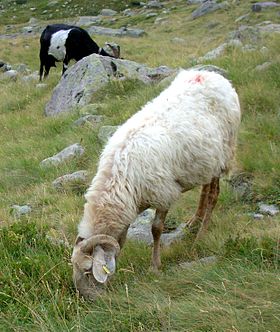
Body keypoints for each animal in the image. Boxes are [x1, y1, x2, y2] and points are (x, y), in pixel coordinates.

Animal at [71, 68, 242, 300]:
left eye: (89, 270)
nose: (86, 298)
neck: (119, 179)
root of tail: (211, 75)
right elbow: (122, 240)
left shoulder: (162, 193)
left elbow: (156, 229)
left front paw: (155, 266)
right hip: (206, 161)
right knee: (205, 189)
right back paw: (194, 220)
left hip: (224, 153)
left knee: (213, 194)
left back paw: (200, 235)